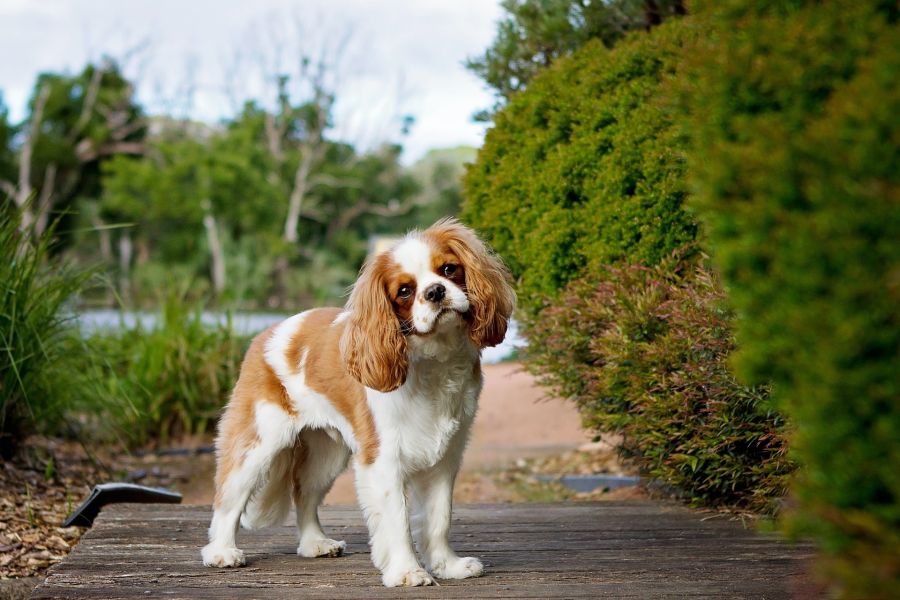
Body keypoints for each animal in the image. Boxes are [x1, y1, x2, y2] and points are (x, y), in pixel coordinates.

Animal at [202, 219, 512, 584]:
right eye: (404, 291)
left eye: (449, 269)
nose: (435, 291)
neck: (435, 360)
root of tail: (267, 332)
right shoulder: (383, 461)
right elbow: (398, 521)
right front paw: (407, 571)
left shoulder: (444, 460)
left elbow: (439, 519)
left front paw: (447, 565)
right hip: (258, 442)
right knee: (228, 497)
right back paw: (221, 552)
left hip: (326, 453)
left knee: (304, 493)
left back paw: (315, 543)